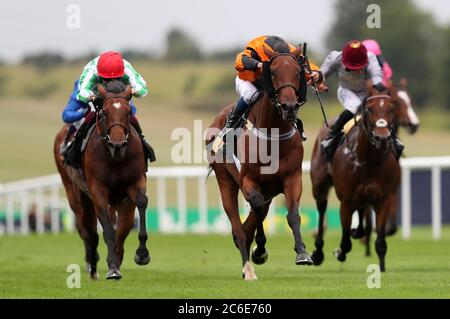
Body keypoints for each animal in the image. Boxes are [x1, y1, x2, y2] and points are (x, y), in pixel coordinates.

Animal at [53, 80, 150, 280]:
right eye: (104, 112)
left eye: (128, 112)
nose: (117, 144)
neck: (115, 158)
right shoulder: (98, 191)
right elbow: (108, 231)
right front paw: (112, 268)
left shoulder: (134, 185)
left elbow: (138, 207)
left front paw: (141, 254)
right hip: (75, 193)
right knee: (86, 229)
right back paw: (92, 265)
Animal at [206, 46, 312, 282]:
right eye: (273, 72)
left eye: (298, 73)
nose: (289, 107)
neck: (274, 135)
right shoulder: (249, 180)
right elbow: (255, 206)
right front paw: (260, 249)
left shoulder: (292, 178)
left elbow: (293, 215)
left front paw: (302, 253)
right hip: (225, 181)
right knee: (238, 228)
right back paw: (248, 268)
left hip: (269, 190)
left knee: (249, 224)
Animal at [310, 85, 400, 272]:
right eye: (369, 109)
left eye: (391, 108)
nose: (382, 137)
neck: (367, 159)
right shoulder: (346, 201)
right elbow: (345, 243)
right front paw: (339, 252)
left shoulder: (384, 198)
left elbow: (381, 242)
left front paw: (381, 268)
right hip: (319, 184)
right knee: (322, 210)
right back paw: (318, 252)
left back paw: (358, 232)